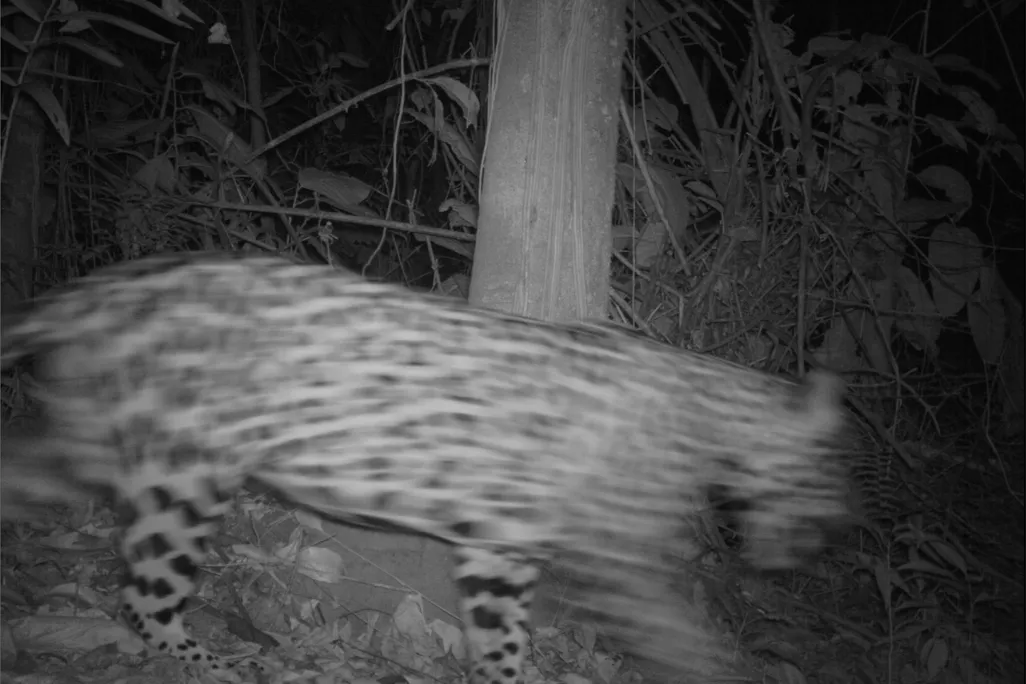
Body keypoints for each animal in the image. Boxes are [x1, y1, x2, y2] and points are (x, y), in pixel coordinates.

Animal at [0, 251, 852, 684]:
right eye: (825, 483)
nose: (817, 547)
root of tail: (103, 288)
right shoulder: (615, 559)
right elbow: (674, 635)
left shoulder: (501, 544)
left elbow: (501, 636)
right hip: (181, 473)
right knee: (146, 596)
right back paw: (212, 661)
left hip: (101, 441)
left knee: (27, 473)